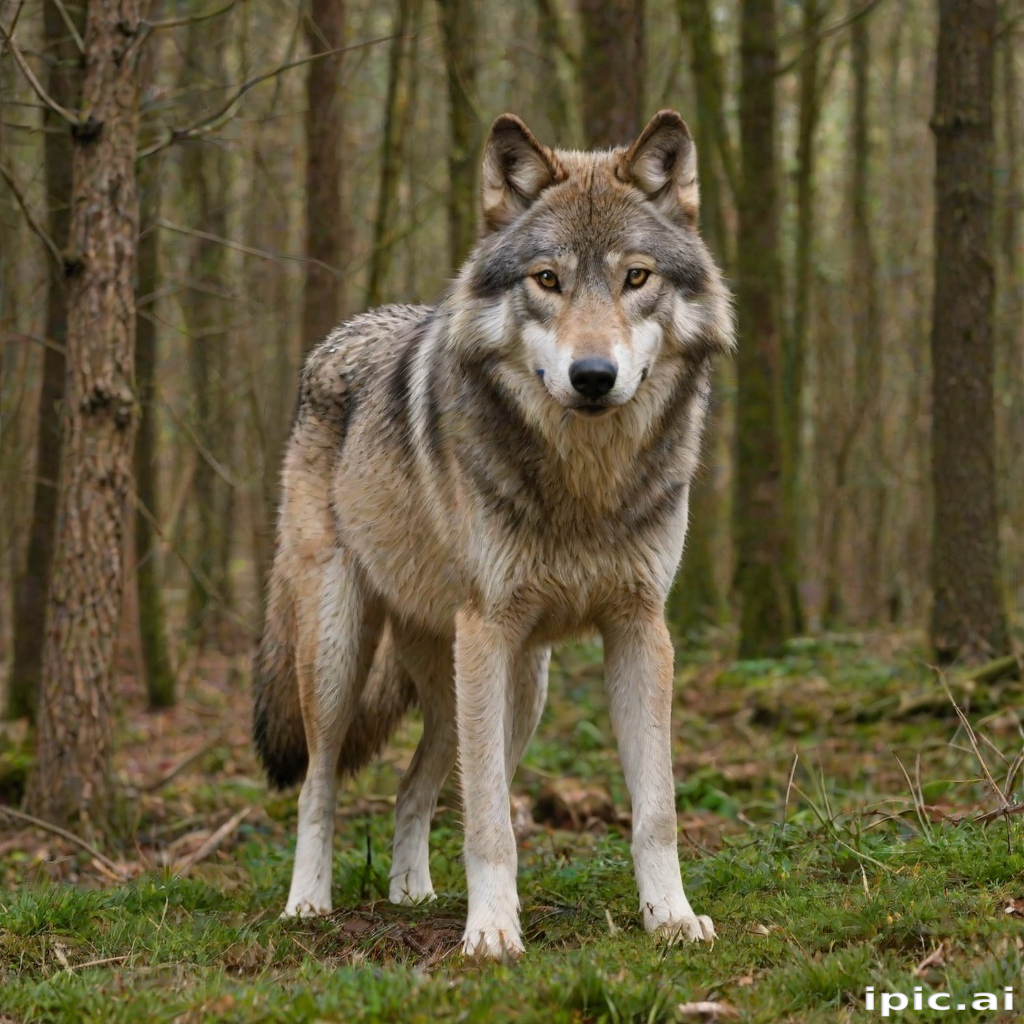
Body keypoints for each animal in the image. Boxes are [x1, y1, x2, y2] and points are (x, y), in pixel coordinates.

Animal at [253, 110, 735, 960]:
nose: (593, 376)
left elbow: (655, 810)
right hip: (346, 652)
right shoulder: (487, 631)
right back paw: (308, 904)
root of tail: (343, 331)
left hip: (509, 686)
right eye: (546, 280)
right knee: (320, 783)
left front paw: (671, 918)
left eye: (636, 277)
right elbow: (488, 824)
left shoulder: (640, 628)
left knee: (416, 789)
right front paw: (491, 933)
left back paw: (411, 894)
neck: (585, 484)